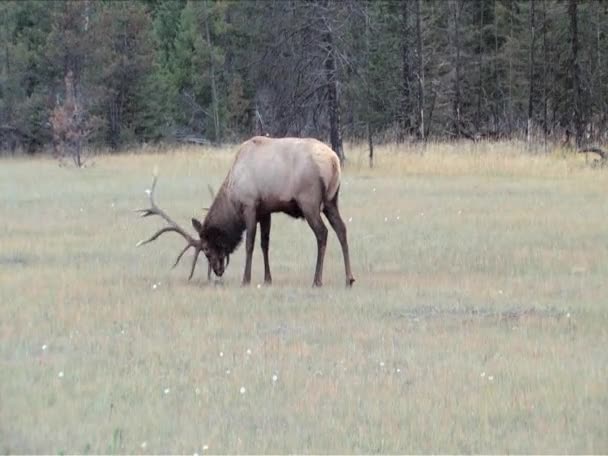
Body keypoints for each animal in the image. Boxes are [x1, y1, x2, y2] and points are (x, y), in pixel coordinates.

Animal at [135, 134, 354, 288]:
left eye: (206, 249)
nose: (218, 271)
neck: (232, 193)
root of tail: (334, 161)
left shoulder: (250, 205)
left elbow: (249, 243)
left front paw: (246, 279)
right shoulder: (266, 210)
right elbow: (265, 243)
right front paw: (267, 279)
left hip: (309, 201)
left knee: (322, 233)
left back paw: (317, 280)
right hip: (331, 200)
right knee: (342, 229)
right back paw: (349, 279)